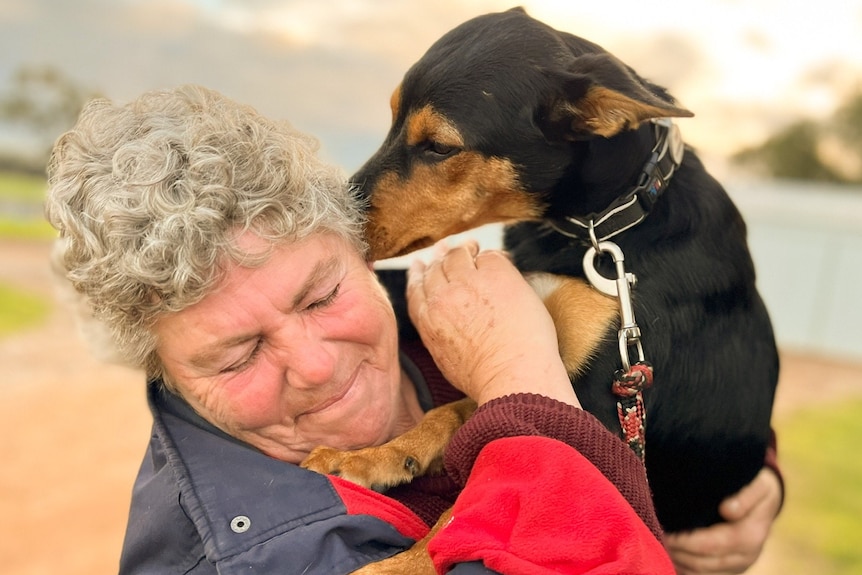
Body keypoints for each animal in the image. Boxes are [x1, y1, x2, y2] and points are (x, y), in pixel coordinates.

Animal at [304, 5, 784, 568]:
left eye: (440, 147)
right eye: (393, 118)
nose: (337, 221)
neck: (601, 227)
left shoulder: (601, 411)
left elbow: (477, 492)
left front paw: (402, 564)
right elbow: (460, 416)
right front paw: (373, 457)